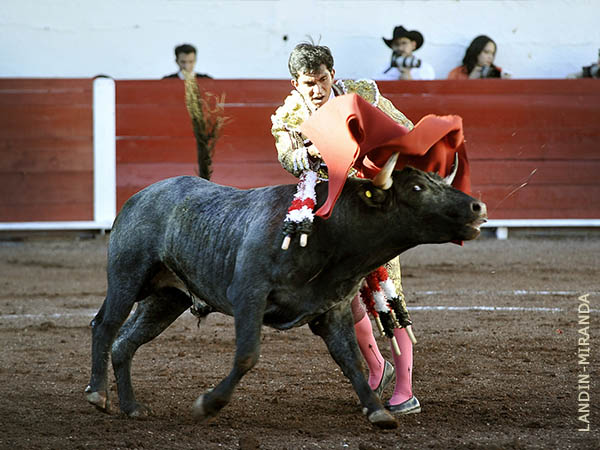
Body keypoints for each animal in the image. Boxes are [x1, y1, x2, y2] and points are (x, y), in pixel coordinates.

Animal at [85, 167, 488, 428]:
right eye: (418, 187)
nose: (478, 207)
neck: (330, 230)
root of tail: (140, 196)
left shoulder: (333, 310)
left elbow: (352, 361)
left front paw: (377, 411)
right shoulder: (249, 296)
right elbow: (247, 355)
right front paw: (208, 404)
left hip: (166, 299)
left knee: (125, 342)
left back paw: (131, 407)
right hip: (127, 277)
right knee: (104, 325)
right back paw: (97, 395)